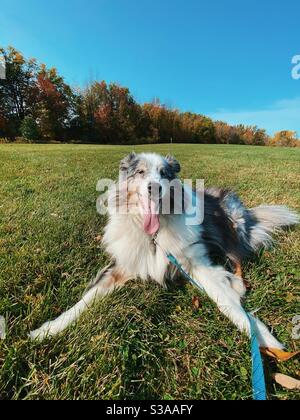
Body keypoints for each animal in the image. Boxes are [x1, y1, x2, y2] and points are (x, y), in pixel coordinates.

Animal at [31, 152, 300, 352]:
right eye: (140, 172)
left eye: (164, 174)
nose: (154, 188)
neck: (153, 234)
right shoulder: (122, 266)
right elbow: (84, 301)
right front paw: (47, 330)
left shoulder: (197, 262)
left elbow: (226, 302)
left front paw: (263, 337)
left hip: (235, 224)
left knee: (238, 254)